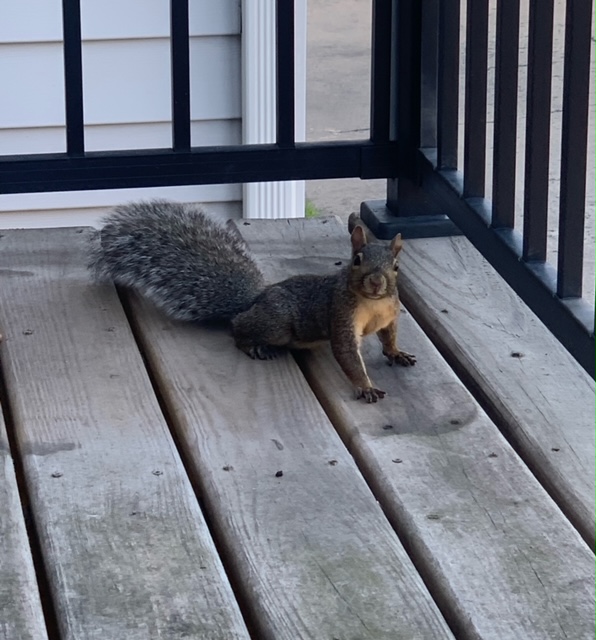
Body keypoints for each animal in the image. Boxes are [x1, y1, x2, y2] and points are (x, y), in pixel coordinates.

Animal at [89, 199, 416, 402]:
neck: (372, 303)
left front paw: (397, 352)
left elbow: (388, 337)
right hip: (277, 324)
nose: (376, 282)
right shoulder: (340, 314)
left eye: (396, 266)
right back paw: (254, 346)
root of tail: (254, 300)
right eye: (357, 260)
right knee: (238, 327)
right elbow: (348, 356)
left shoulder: (389, 316)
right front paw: (366, 386)